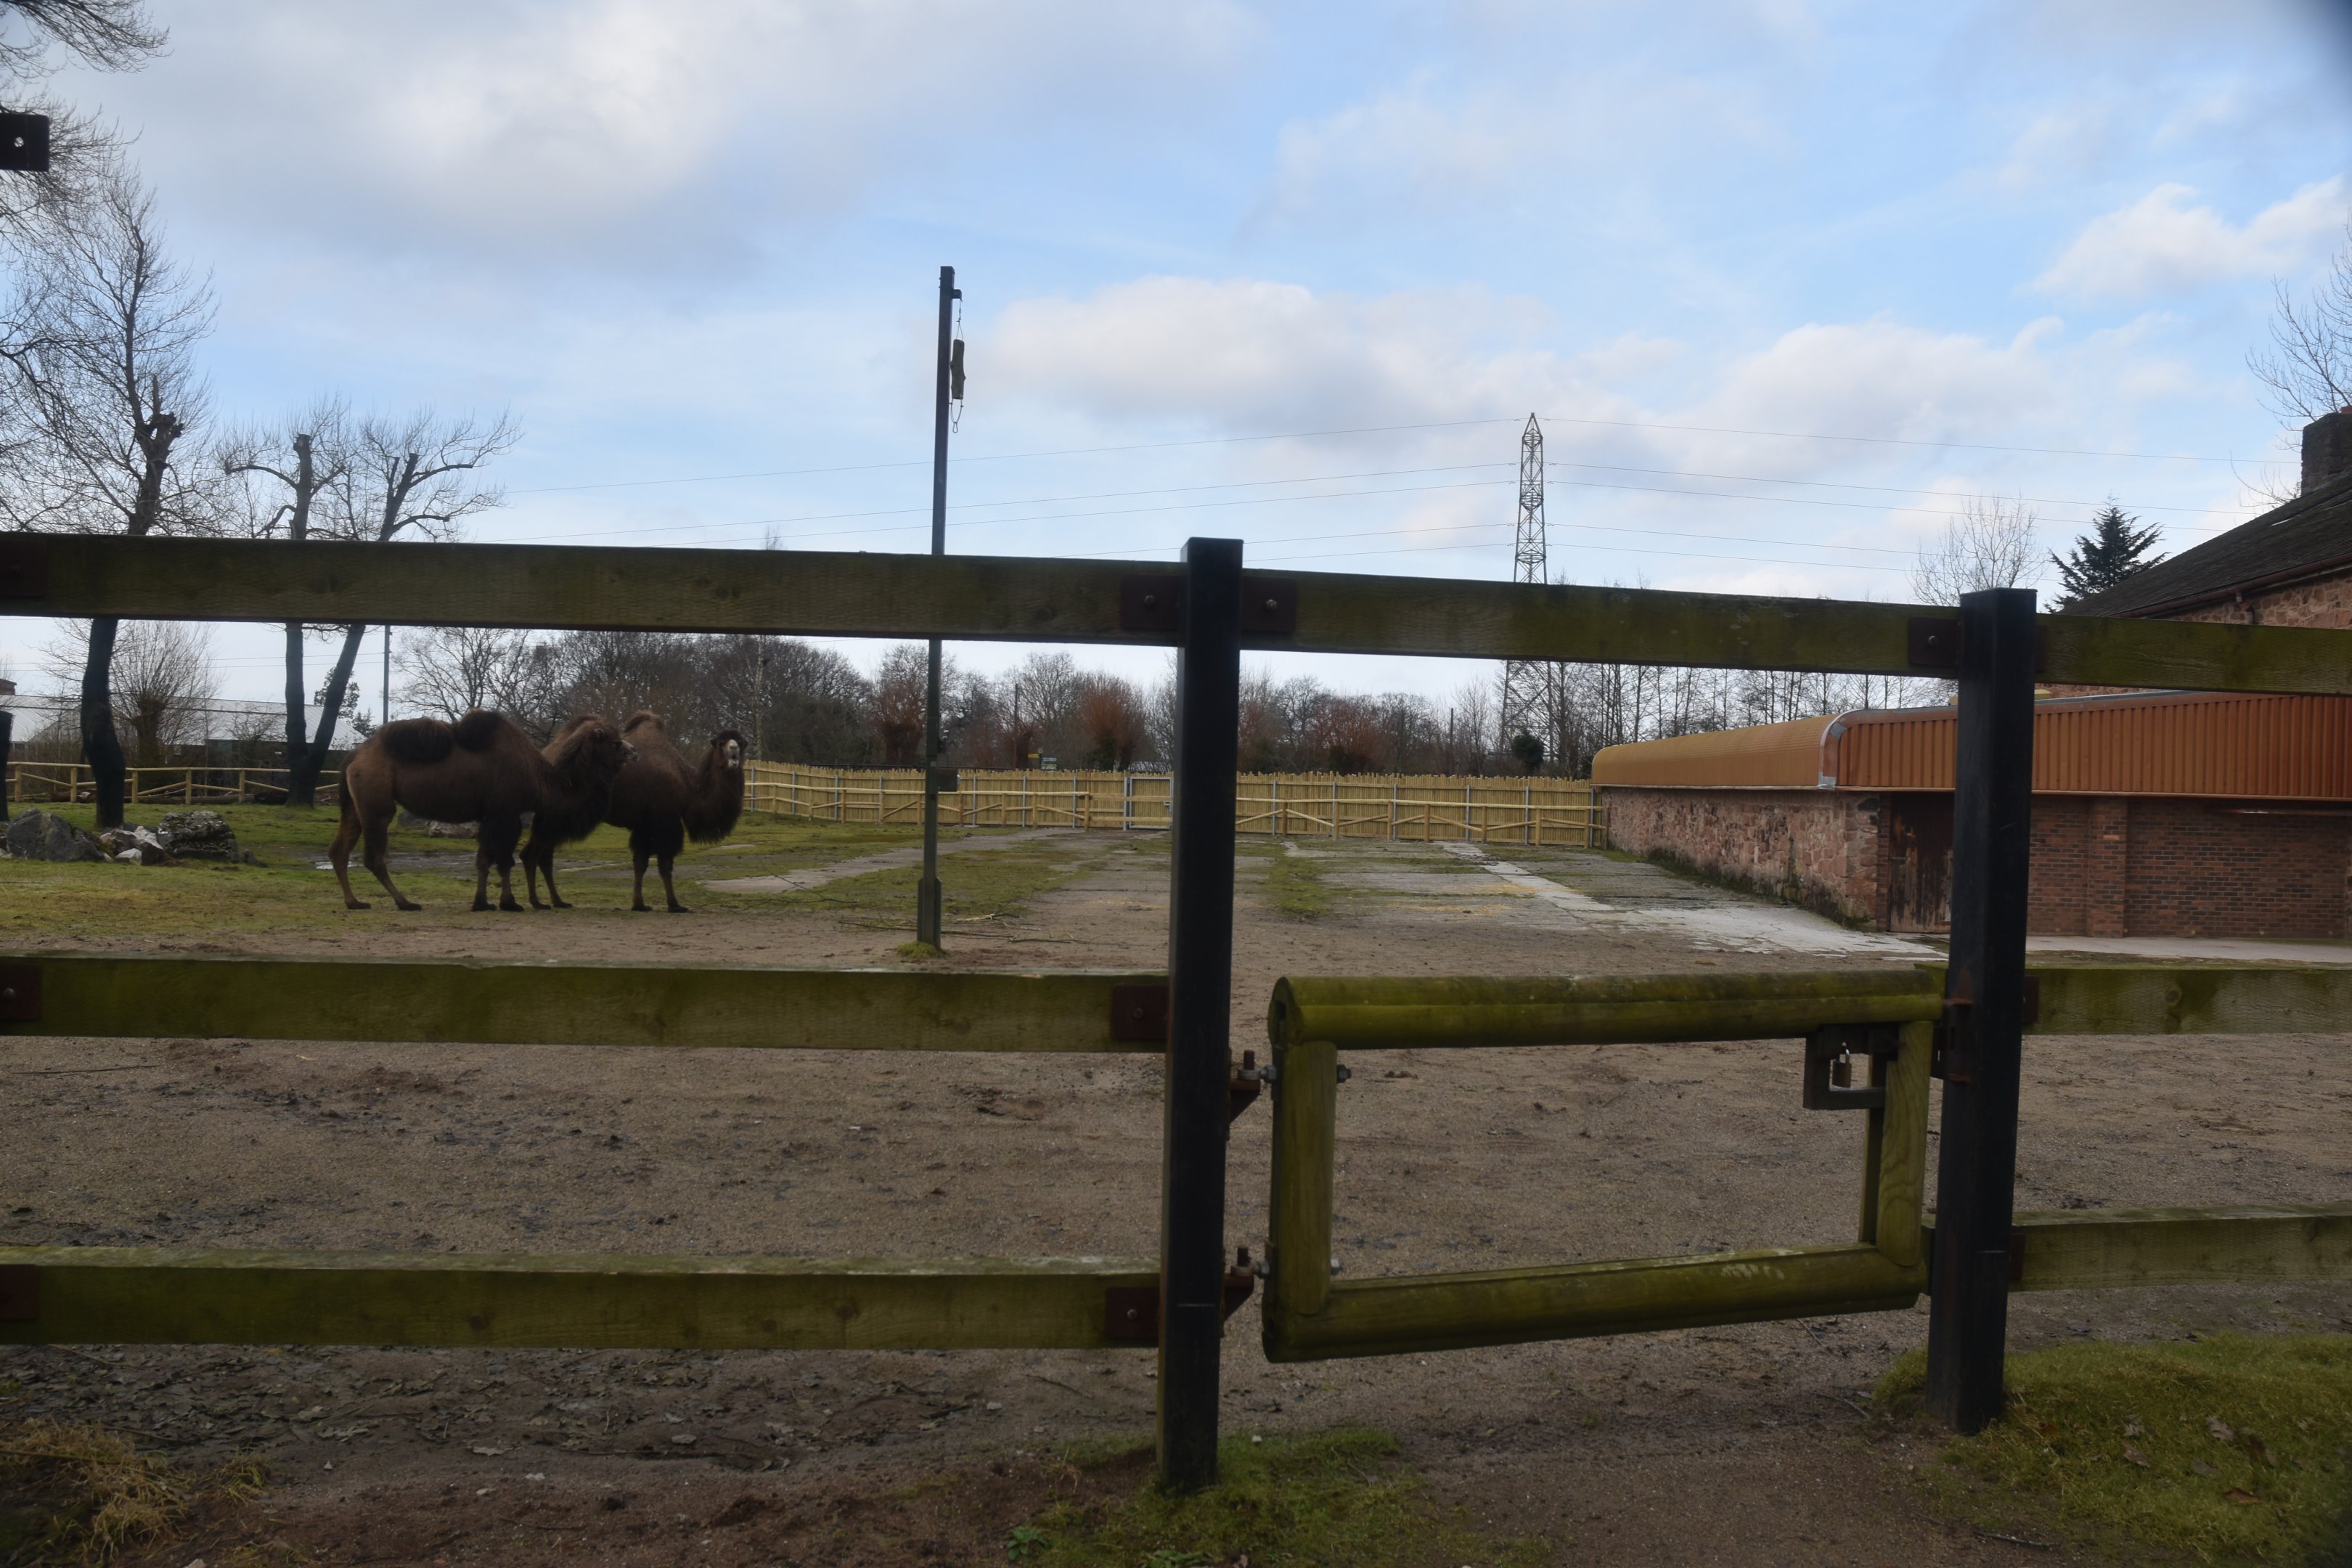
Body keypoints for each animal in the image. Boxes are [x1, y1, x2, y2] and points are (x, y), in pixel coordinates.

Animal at [330, 709, 630, 913]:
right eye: (615, 742)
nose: (633, 751)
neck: (541, 779)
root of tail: (353, 757)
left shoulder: (491, 816)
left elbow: (484, 859)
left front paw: (482, 902)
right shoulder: (505, 813)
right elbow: (504, 860)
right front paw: (510, 903)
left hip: (355, 806)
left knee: (339, 850)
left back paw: (355, 902)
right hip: (376, 803)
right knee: (374, 857)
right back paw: (405, 903)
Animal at [598, 711, 746, 913]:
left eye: (741, 742)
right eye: (721, 743)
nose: (733, 751)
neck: (688, 787)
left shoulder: (645, 824)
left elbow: (640, 864)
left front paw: (639, 904)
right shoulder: (665, 820)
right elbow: (665, 865)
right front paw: (675, 905)